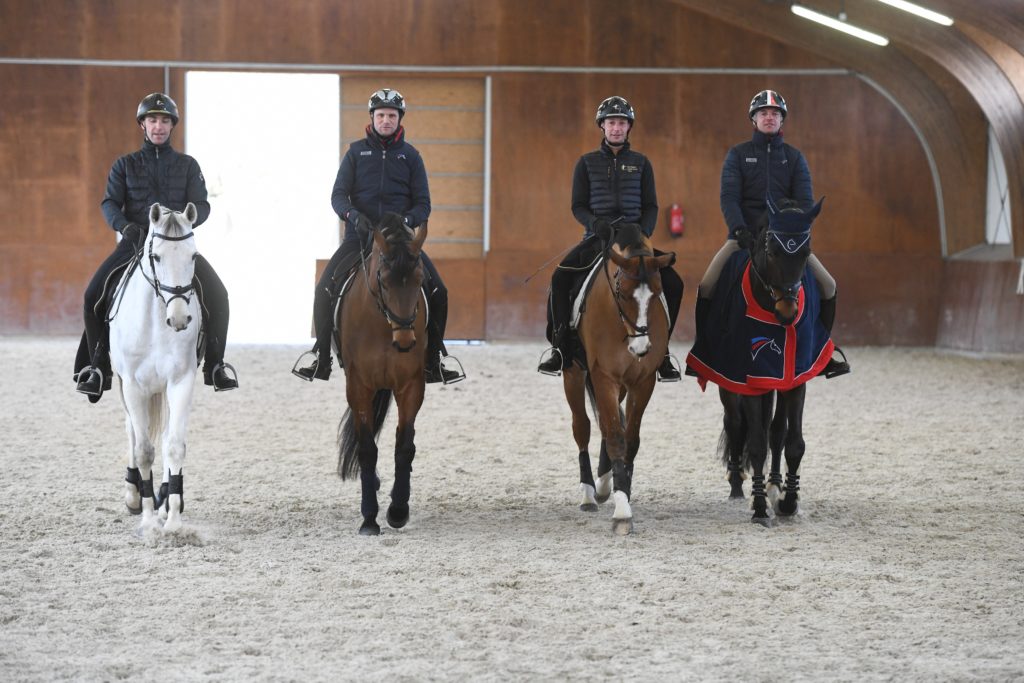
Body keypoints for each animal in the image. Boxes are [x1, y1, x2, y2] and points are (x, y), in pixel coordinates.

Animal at [110, 200, 201, 532]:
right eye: (157, 256)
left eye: (193, 256)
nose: (179, 319)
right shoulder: (133, 386)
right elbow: (143, 450)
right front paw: (148, 519)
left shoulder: (181, 382)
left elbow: (173, 445)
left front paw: (172, 519)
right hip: (124, 386)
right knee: (132, 431)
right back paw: (134, 495)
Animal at [337, 210, 430, 536]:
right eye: (385, 281)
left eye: (420, 280)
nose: (405, 341)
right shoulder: (358, 386)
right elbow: (366, 449)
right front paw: (369, 518)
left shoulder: (411, 385)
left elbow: (405, 446)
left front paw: (398, 511)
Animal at [565, 224, 675, 532]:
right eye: (623, 294)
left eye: (657, 295)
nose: (641, 348)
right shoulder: (603, 376)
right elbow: (615, 436)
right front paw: (623, 513)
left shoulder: (642, 381)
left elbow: (630, 439)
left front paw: (620, 488)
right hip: (574, 374)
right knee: (583, 426)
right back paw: (589, 494)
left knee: (605, 423)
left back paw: (604, 485)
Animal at [679, 194, 831, 528]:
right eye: (771, 252)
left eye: (806, 253)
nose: (788, 310)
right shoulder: (747, 379)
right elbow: (757, 444)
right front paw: (760, 507)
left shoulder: (795, 379)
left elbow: (793, 442)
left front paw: (787, 501)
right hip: (730, 383)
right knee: (735, 425)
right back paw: (738, 485)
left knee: (775, 431)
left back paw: (774, 484)